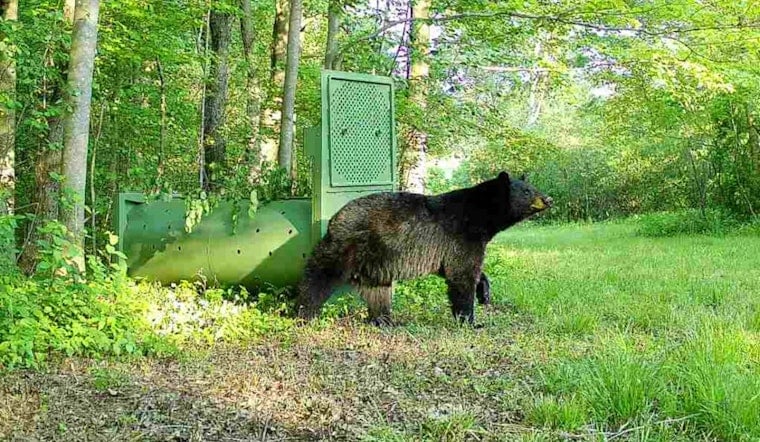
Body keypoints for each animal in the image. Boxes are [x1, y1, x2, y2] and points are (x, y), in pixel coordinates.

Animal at [296, 171, 552, 326]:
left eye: (533, 186)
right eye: (527, 191)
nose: (548, 199)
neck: (481, 216)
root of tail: (333, 220)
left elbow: (463, 270)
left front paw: (485, 292)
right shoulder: (460, 235)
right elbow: (461, 274)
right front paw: (469, 319)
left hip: (375, 263)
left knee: (378, 293)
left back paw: (385, 320)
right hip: (346, 246)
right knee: (318, 276)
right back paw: (304, 312)